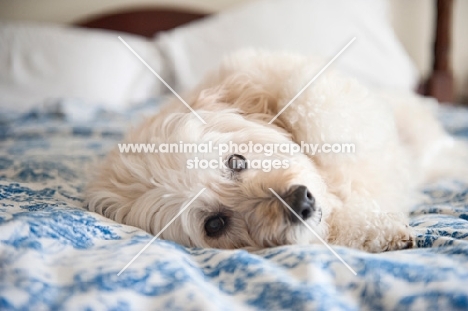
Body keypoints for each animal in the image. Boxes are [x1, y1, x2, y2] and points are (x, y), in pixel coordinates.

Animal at [86, 50, 466, 254]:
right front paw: (375, 233)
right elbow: (332, 228)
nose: (300, 202)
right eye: (214, 224)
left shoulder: (293, 78)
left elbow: (311, 107)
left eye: (236, 161)